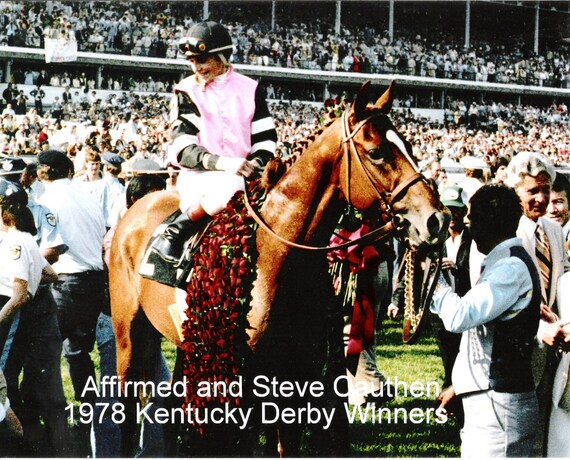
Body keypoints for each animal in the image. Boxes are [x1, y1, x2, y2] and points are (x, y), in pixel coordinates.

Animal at [108, 82, 448, 452]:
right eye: (377, 153)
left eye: (409, 147)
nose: (436, 220)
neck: (280, 255)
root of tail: (136, 209)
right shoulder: (246, 380)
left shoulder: (296, 374)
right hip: (128, 333)